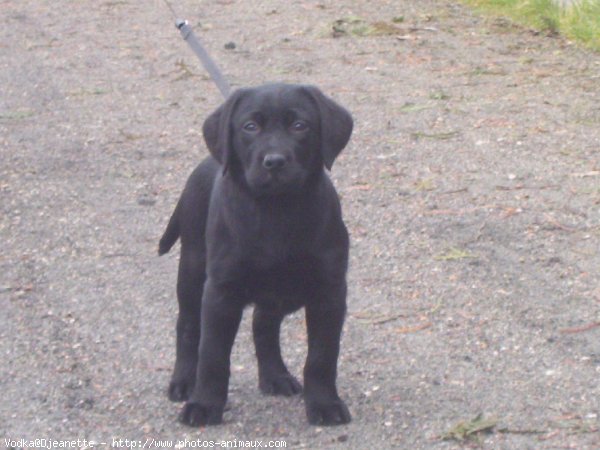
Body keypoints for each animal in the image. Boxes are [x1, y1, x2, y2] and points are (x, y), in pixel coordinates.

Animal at [159, 83, 354, 426]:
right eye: (250, 126)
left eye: (299, 125)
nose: (274, 161)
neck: (277, 210)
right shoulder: (220, 292)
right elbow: (212, 355)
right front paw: (204, 405)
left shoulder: (329, 292)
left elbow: (321, 356)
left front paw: (324, 403)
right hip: (193, 268)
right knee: (188, 327)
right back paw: (183, 382)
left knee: (263, 325)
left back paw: (275, 376)